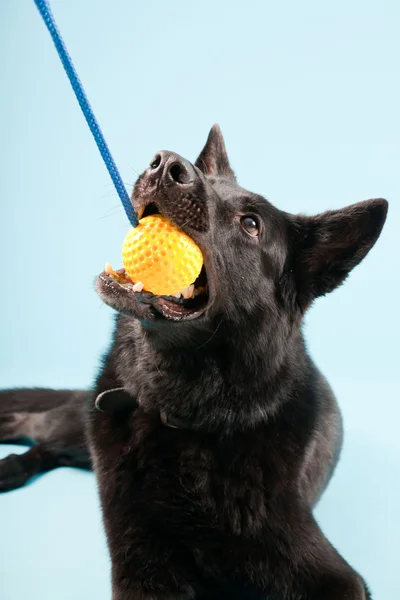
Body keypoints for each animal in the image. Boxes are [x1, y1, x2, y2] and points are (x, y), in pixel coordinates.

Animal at [0, 126, 388, 600]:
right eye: (206, 179)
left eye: (250, 224)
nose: (166, 163)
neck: (189, 415)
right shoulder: (141, 561)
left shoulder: (334, 577)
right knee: (33, 424)